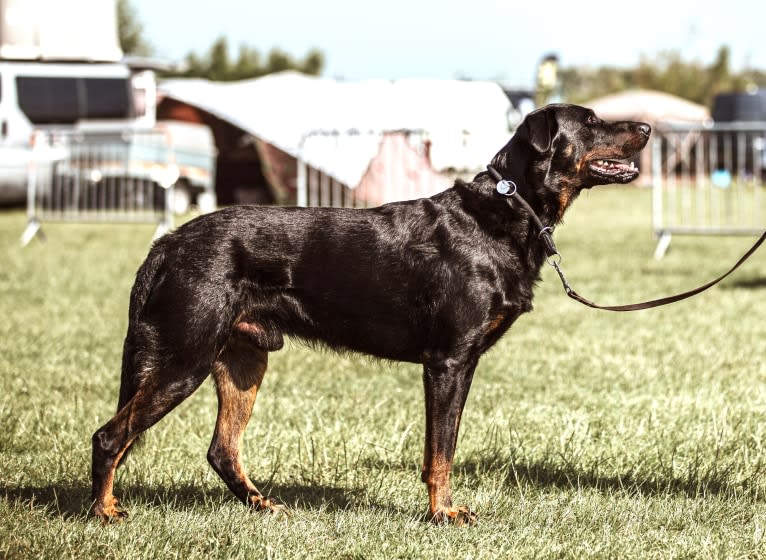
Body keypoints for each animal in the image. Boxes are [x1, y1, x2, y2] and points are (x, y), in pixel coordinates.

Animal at [91, 104, 656, 524]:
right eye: (592, 122)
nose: (648, 128)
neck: (507, 211)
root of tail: (167, 242)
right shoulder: (449, 362)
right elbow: (441, 451)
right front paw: (443, 514)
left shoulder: (458, 363)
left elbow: (445, 447)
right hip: (185, 357)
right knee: (111, 436)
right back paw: (105, 512)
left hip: (243, 359)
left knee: (221, 449)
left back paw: (262, 504)